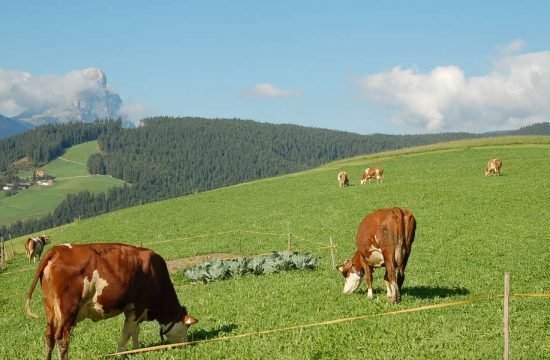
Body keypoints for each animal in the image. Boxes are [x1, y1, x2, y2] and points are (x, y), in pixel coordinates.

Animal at [25, 243, 199, 358]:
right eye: (186, 327)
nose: (185, 346)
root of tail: (57, 249)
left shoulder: (134, 310)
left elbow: (134, 331)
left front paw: (137, 350)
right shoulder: (137, 307)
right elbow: (127, 332)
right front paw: (123, 353)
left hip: (51, 309)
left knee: (49, 336)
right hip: (68, 311)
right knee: (62, 338)